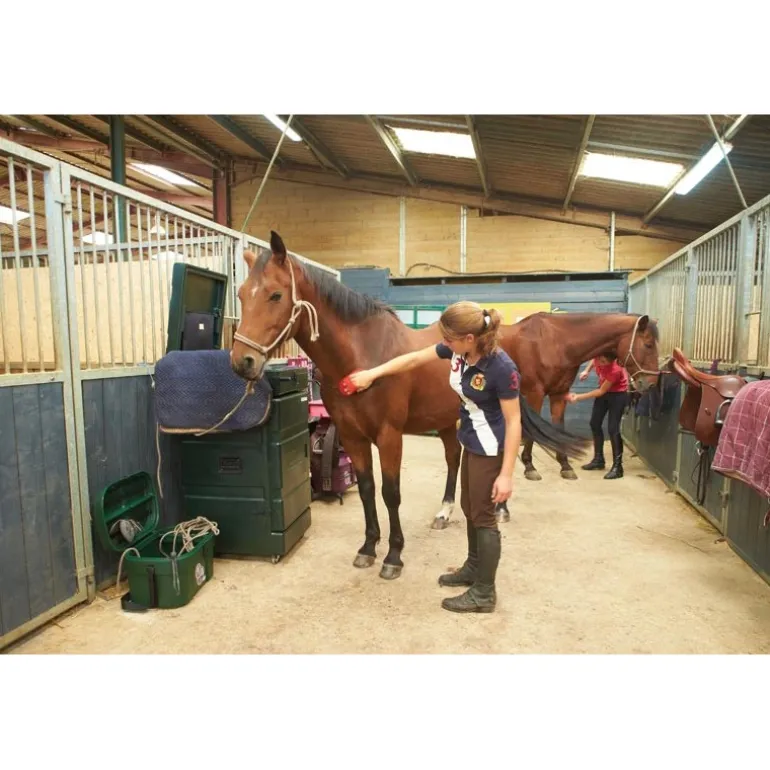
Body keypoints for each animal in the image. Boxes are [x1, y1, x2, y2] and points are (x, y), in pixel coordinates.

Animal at [230, 231, 590, 581]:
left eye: (276, 295)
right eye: (242, 294)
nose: (242, 361)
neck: (362, 358)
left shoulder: (390, 436)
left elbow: (391, 493)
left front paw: (393, 556)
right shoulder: (352, 436)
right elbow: (366, 489)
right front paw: (368, 548)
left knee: (504, 454)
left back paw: (501, 509)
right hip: (447, 419)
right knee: (453, 459)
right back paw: (444, 512)